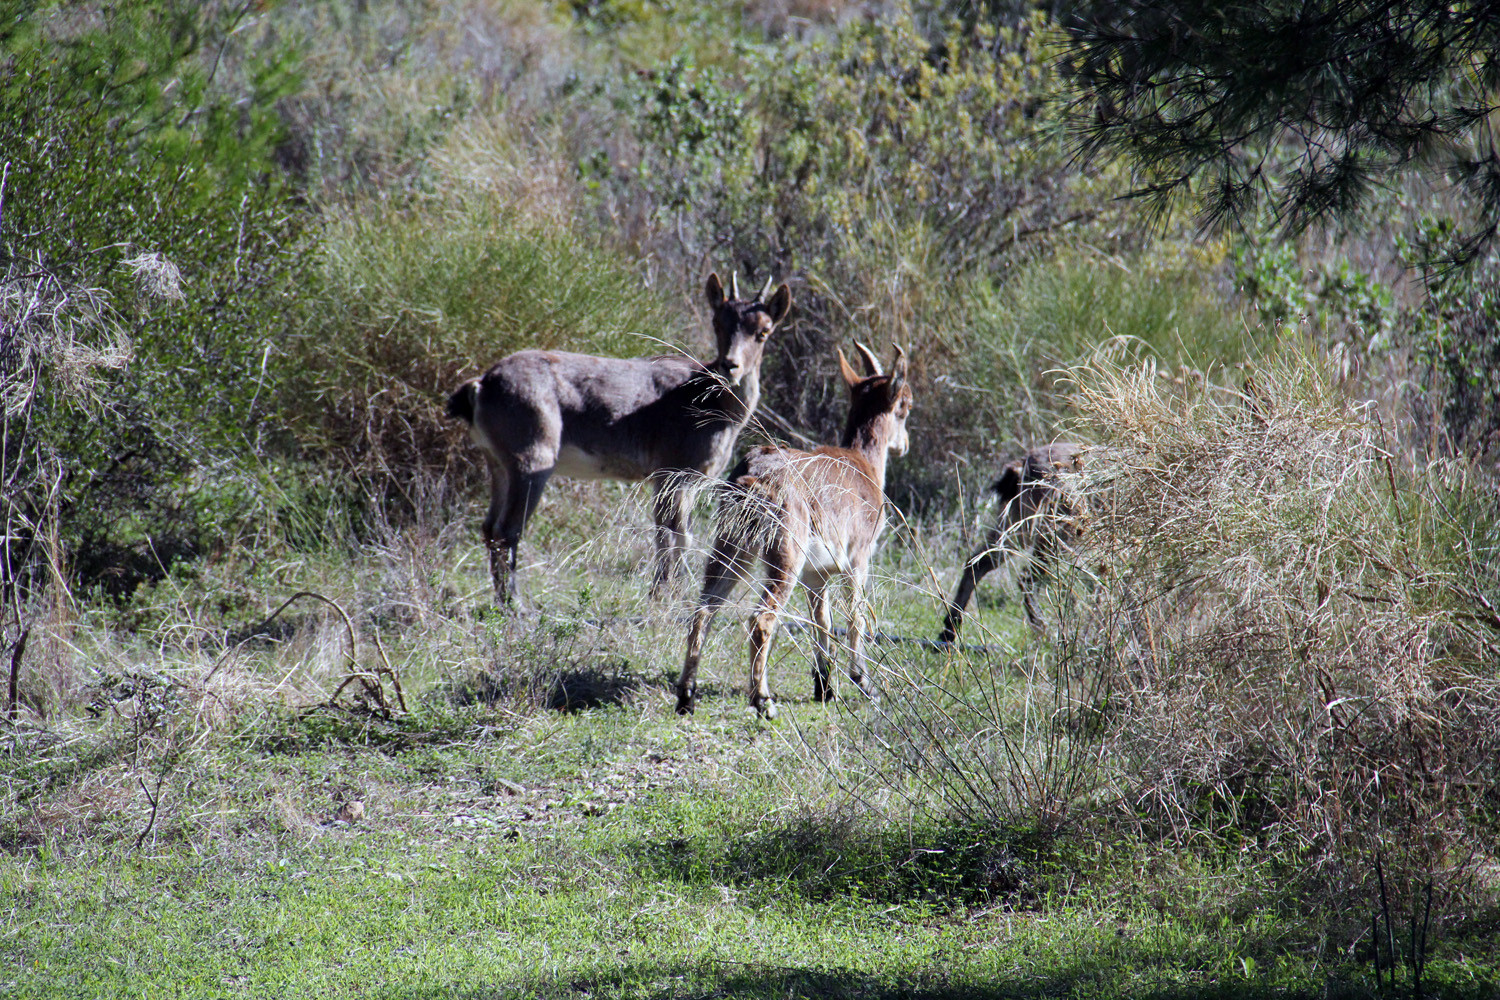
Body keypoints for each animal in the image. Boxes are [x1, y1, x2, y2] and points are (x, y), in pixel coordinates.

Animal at [446, 272, 790, 605]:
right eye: (718, 323)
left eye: (763, 331)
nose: (731, 366)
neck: (710, 400)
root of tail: (481, 386)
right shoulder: (673, 475)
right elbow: (674, 538)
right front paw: (661, 600)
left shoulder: (682, 481)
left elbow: (675, 537)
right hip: (531, 459)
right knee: (508, 530)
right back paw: (516, 606)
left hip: (498, 463)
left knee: (490, 528)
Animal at [676, 343, 913, 718]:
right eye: (906, 404)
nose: (903, 444)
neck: (864, 467)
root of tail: (752, 478)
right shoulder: (857, 561)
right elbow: (856, 618)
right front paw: (865, 683)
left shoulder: (817, 575)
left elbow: (822, 622)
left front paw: (824, 688)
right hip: (784, 557)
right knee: (760, 620)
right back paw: (763, 701)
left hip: (732, 548)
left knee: (704, 610)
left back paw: (686, 696)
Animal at [937, 442, 1086, 643]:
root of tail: (1024, 464)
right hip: (1059, 528)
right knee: (1027, 578)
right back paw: (1046, 630)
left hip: (1017, 524)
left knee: (978, 561)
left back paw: (950, 628)